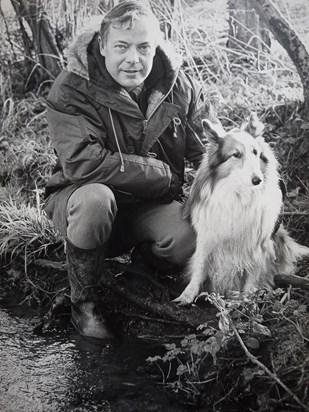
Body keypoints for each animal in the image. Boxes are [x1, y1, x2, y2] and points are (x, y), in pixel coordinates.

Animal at [173, 111, 308, 304]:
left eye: (255, 152)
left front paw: (244, 304)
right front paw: (187, 295)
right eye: (236, 154)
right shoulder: (207, 237)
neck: (239, 193)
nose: (258, 180)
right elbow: (199, 268)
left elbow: (252, 279)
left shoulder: (260, 246)